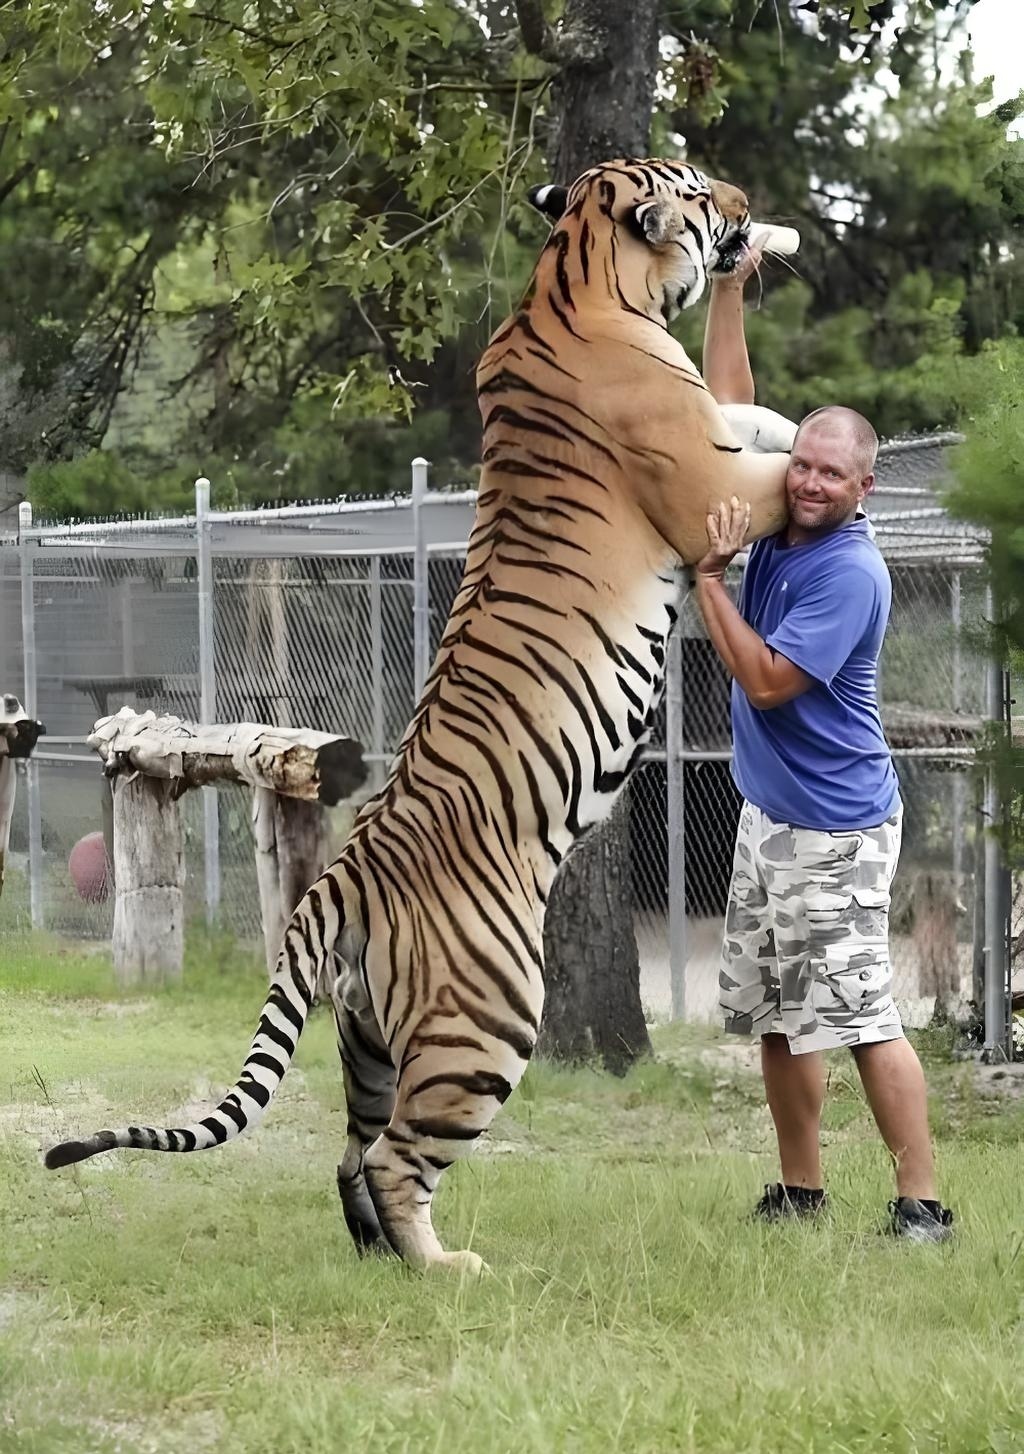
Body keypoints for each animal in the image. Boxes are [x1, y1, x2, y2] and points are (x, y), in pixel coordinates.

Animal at [46, 156, 802, 1273]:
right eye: (703, 190)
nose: (749, 207)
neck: (576, 275)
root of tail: (340, 878)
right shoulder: (711, 486)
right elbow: (776, 469)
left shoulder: (714, 430)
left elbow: (758, 421)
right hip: (487, 1023)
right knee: (400, 1157)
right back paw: (447, 1268)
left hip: (366, 1038)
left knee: (352, 1151)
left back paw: (381, 1263)